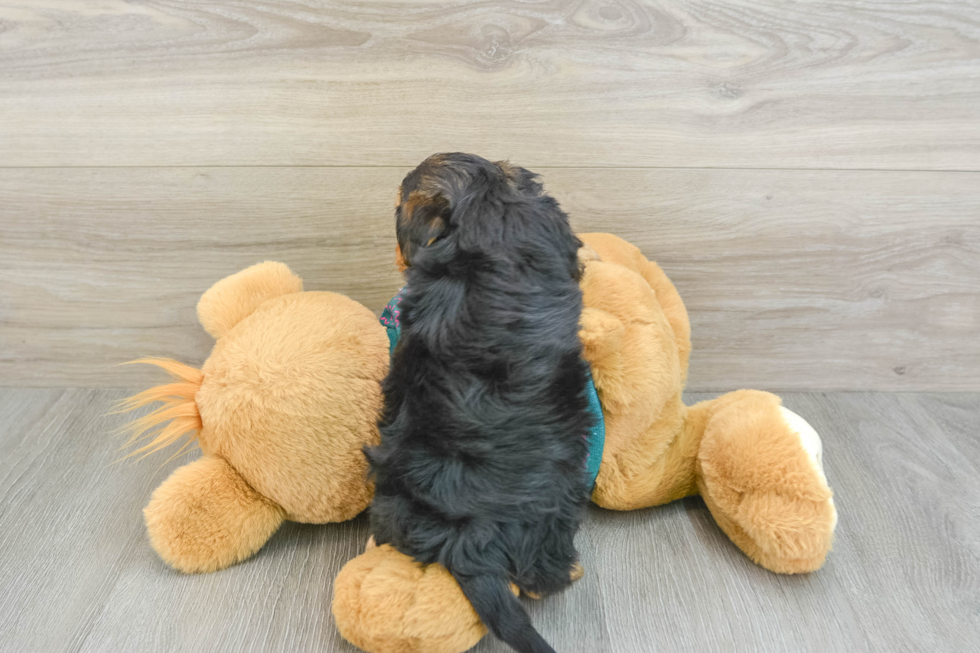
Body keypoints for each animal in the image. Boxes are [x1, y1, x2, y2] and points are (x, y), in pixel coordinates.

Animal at [368, 153, 592, 652]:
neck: (483, 206)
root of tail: (468, 537)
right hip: (562, 495)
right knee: (542, 572)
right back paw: (565, 572)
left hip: (392, 502)